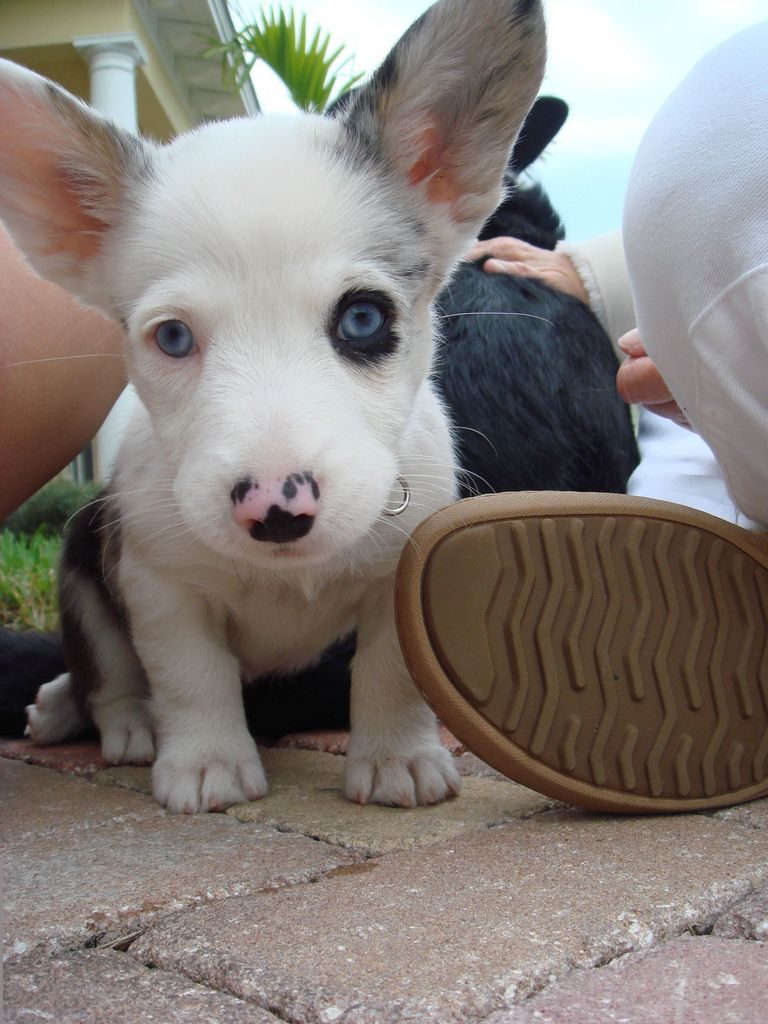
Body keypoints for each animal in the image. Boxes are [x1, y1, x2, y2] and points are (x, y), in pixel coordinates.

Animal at [0, 2, 548, 815]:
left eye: (363, 319)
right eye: (172, 337)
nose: (276, 507)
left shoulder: (398, 581)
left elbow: (392, 673)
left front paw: (397, 759)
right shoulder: (159, 587)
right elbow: (189, 677)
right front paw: (207, 764)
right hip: (81, 570)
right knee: (107, 671)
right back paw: (107, 719)